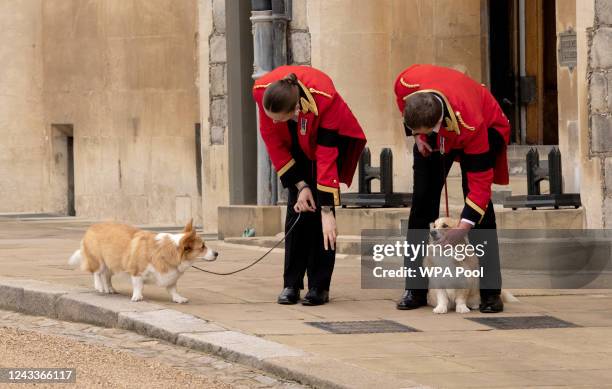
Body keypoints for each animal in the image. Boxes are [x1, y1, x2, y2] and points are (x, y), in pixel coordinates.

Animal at [68, 218, 218, 304]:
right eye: (202, 247)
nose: (217, 253)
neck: (168, 250)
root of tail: (91, 227)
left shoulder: (170, 277)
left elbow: (173, 289)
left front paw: (178, 298)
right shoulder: (136, 272)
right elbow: (138, 285)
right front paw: (137, 297)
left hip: (112, 263)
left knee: (107, 276)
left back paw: (109, 289)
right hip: (99, 260)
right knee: (97, 273)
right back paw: (99, 287)